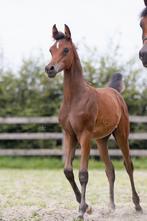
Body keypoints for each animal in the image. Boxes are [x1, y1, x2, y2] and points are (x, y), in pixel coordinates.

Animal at [45, 24, 142, 219]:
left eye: (66, 50)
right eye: (51, 49)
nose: (49, 68)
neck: (74, 99)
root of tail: (114, 92)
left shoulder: (84, 136)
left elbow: (83, 174)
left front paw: (82, 210)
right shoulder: (70, 135)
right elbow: (67, 171)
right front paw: (87, 206)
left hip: (121, 135)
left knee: (128, 165)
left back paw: (137, 205)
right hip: (101, 140)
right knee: (110, 170)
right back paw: (111, 206)